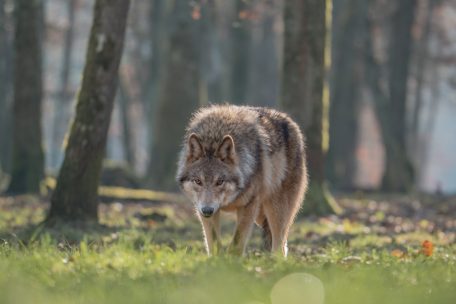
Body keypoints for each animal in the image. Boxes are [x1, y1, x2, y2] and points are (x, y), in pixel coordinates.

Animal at [176, 104, 308, 256]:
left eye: (219, 181)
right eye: (198, 181)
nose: (207, 210)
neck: (215, 134)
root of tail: (291, 123)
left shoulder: (248, 206)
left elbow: (236, 242)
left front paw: (231, 261)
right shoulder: (203, 209)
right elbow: (213, 243)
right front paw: (216, 260)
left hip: (275, 211)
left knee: (279, 243)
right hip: (260, 216)